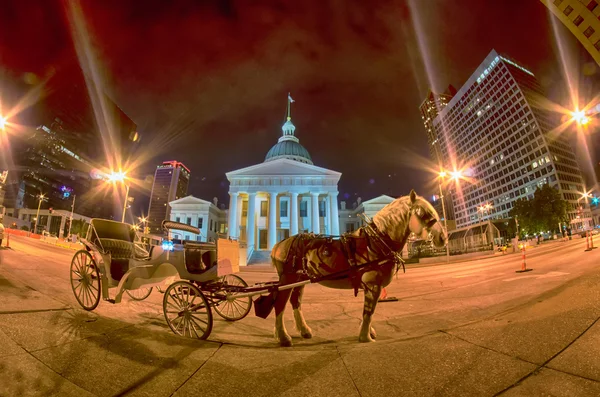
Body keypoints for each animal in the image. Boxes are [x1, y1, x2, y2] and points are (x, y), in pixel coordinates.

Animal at [268, 187, 446, 344]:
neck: (376, 241)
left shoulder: (370, 286)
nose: (443, 237)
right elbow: (369, 311)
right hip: (288, 279)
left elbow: (369, 311)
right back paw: (283, 337)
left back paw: (302, 331)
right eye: (424, 213)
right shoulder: (373, 284)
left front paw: (369, 332)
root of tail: (278, 244)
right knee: (280, 304)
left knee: (295, 302)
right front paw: (365, 337)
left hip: (299, 280)